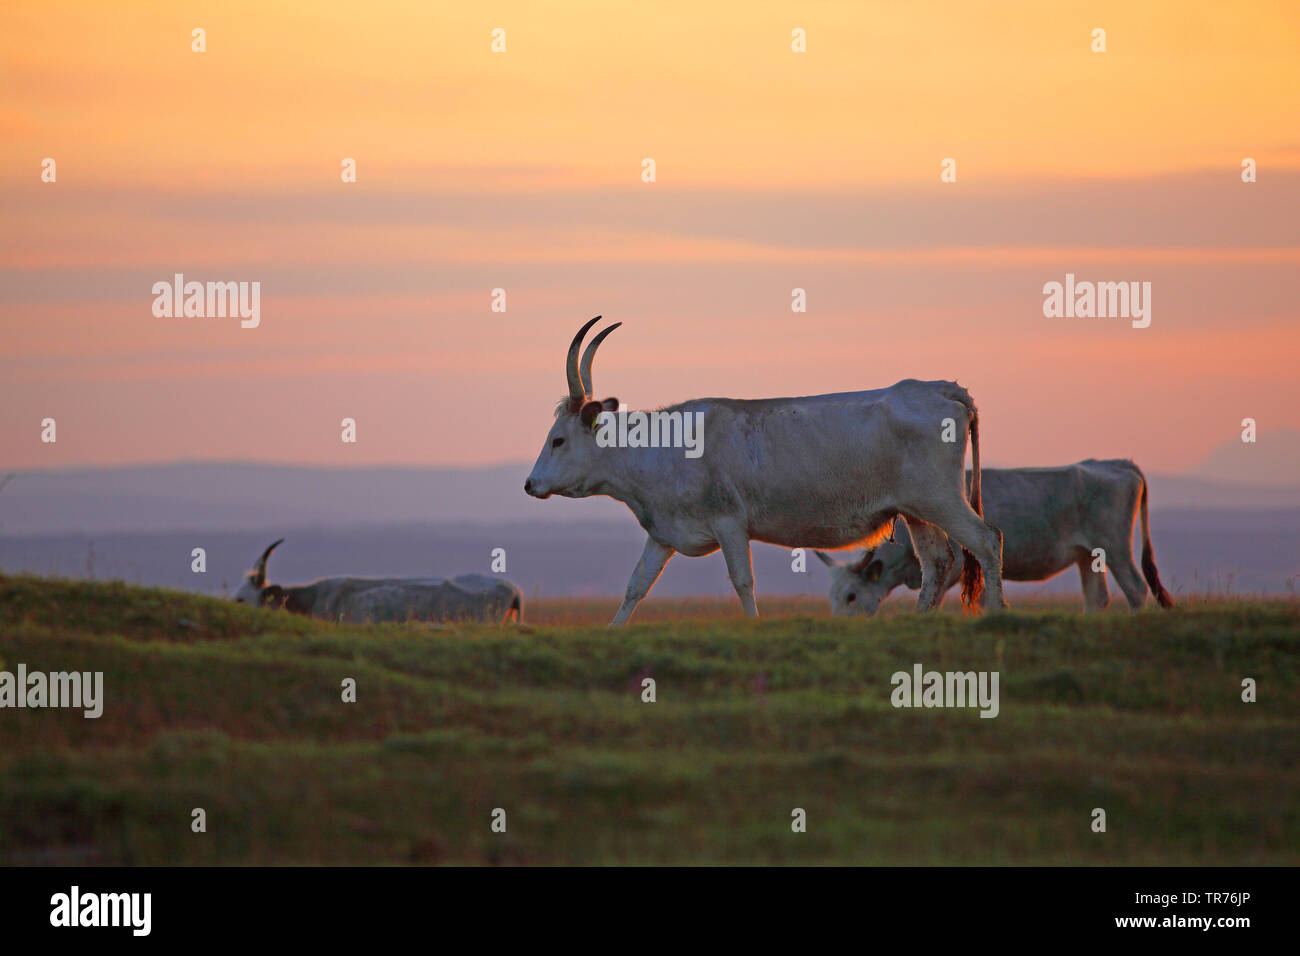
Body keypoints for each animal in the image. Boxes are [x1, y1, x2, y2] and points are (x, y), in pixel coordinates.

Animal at [523, 316, 1007, 625]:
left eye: (558, 439)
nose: (530, 484)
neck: (665, 447)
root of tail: (941, 389)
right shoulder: (663, 534)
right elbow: (636, 586)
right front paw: (614, 630)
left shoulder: (730, 523)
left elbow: (743, 581)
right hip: (916, 511)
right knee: (937, 562)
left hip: (940, 499)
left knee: (986, 538)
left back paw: (997, 613)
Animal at [816, 459, 1175, 615]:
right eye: (831, 597)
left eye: (850, 596)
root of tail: (1116, 463)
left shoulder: (957, 567)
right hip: (1088, 555)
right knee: (1097, 597)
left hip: (1115, 547)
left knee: (1135, 588)